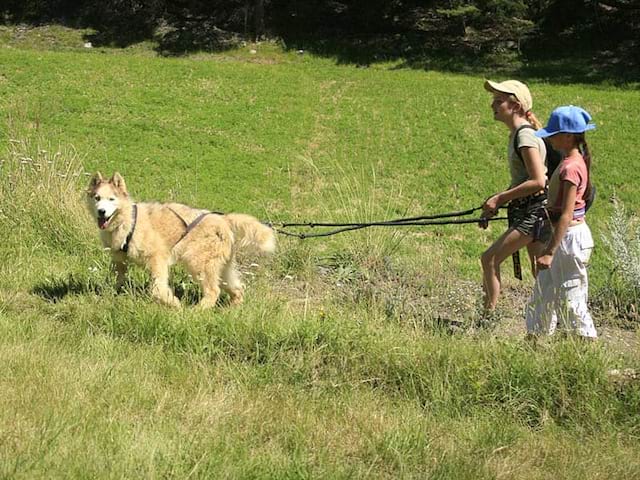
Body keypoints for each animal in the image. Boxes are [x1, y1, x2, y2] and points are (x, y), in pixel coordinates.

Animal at [85, 172, 276, 308]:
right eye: (97, 198)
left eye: (112, 199)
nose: (101, 211)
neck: (128, 221)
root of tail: (223, 219)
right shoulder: (120, 260)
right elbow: (119, 279)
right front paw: (111, 294)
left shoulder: (157, 259)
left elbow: (158, 289)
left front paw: (173, 303)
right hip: (222, 268)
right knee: (237, 288)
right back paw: (232, 309)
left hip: (198, 263)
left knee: (213, 291)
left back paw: (197, 311)